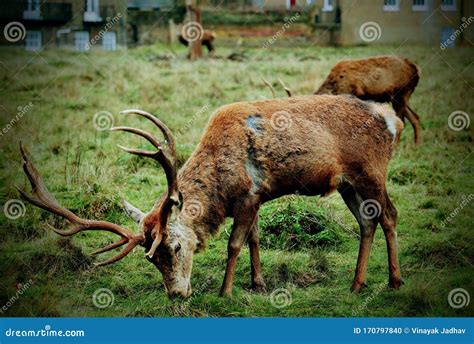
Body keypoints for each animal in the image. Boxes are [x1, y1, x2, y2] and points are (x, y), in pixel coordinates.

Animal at [17, 94, 404, 298]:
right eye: (151, 260)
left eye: (174, 248)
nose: (176, 293)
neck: (221, 188)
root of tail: (393, 120)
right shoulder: (256, 198)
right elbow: (255, 239)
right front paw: (258, 283)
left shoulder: (248, 195)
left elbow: (234, 244)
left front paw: (225, 291)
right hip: (347, 183)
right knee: (366, 221)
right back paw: (357, 283)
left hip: (371, 171)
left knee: (389, 215)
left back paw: (395, 280)